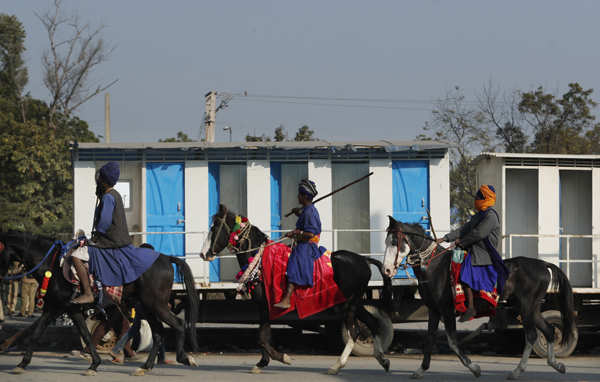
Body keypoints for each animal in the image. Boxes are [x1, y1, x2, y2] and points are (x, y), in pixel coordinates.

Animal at [0, 230, 202, 376]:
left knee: (178, 324)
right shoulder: (67, 309)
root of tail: (166, 258)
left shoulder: (56, 308)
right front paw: (94, 364)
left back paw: (184, 358)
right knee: (159, 333)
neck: (53, 265)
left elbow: (38, 334)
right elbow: (83, 335)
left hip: (156, 305)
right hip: (147, 307)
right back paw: (145, 367)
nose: (5, 278)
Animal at [199, 204, 392, 374]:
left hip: (349, 303)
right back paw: (381, 359)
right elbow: (263, 334)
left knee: (355, 331)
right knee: (370, 324)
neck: (260, 260)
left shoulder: (265, 304)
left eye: (214, 227)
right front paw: (263, 362)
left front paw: (282, 358)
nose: (203, 254)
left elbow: (262, 337)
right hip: (354, 302)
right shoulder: (263, 306)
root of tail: (364, 260)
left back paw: (338, 365)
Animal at [384, 216, 576, 380]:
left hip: (526, 306)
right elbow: (429, 338)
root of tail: (543, 264)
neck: (434, 268)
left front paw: (474, 368)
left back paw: (517, 371)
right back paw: (556, 364)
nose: (386, 270)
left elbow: (452, 341)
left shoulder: (447, 310)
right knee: (549, 330)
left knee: (531, 335)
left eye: (394, 242)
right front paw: (421, 369)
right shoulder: (434, 310)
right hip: (531, 307)